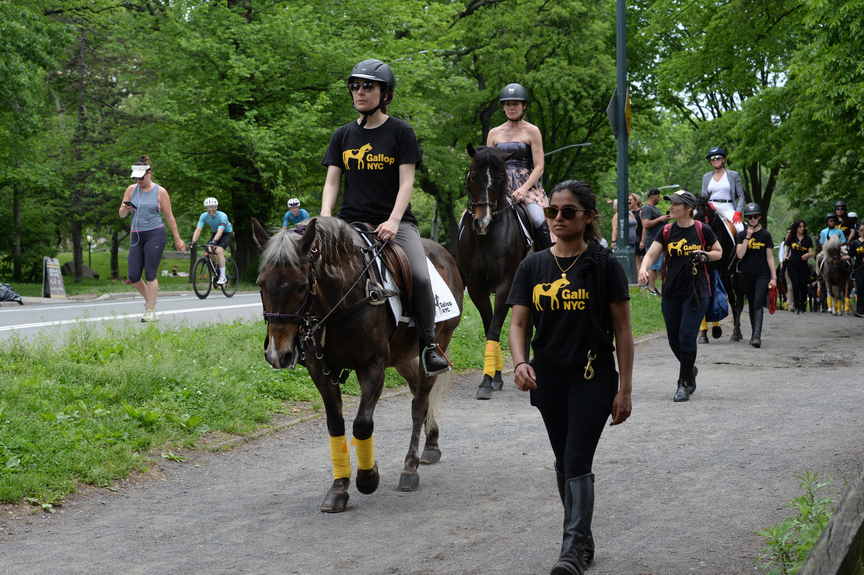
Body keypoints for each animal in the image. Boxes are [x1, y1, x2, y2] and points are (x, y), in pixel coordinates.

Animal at [252, 216, 463, 512]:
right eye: (261, 284)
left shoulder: (372, 367)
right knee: (417, 395)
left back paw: (410, 468)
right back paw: (431, 444)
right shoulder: (321, 371)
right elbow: (335, 425)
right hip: (403, 358)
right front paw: (339, 488)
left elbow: (362, 424)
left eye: (301, 286)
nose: (278, 354)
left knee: (420, 403)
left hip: (434, 346)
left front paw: (368, 477)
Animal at [457, 144, 531, 400]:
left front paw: (487, 381)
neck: (487, 238)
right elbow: (490, 326)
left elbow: (495, 328)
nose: (482, 222)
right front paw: (494, 378)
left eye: (499, 179)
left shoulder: (505, 287)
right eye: (472, 176)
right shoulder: (476, 288)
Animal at [693, 197, 745, 341]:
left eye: (700, 215)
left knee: (737, 302)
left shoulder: (724, 274)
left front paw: (717, 330)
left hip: (736, 278)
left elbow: (730, 301)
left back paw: (737, 333)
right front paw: (704, 334)